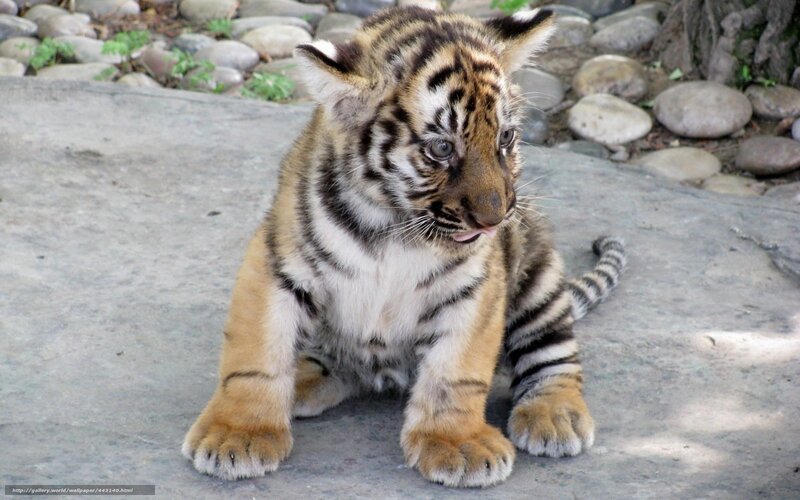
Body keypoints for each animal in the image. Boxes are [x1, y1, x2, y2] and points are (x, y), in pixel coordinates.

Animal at [181, 6, 627, 488]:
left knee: (555, 357)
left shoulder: (474, 286)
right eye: (441, 148)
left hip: (539, 276)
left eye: (506, 138)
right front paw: (238, 434)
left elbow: (456, 371)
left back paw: (554, 416)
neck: (396, 227)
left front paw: (458, 444)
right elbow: (255, 356)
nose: (495, 219)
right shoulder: (277, 263)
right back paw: (300, 379)